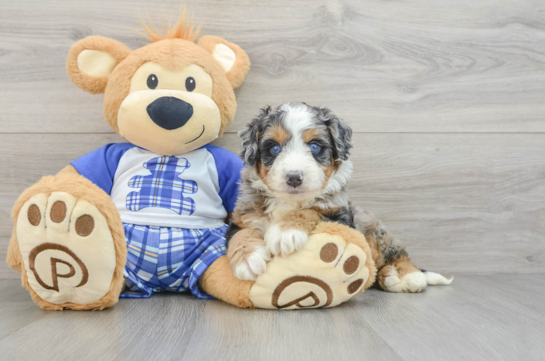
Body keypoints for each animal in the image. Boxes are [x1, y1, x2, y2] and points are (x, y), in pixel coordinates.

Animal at [225, 102, 450, 292]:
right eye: (274, 148)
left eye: (314, 146)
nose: (294, 178)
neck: (290, 202)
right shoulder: (242, 216)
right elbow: (240, 234)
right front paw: (248, 259)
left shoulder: (342, 217)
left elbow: (311, 211)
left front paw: (285, 232)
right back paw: (390, 277)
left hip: (375, 233)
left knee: (397, 253)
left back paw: (408, 276)